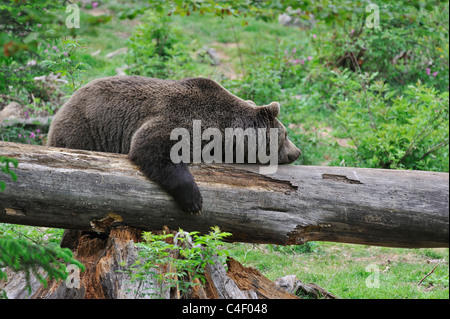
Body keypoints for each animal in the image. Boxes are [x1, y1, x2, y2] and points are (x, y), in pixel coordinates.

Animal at [47, 76, 300, 215]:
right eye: (286, 134)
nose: (296, 152)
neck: (224, 132)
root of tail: (65, 105)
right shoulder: (184, 120)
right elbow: (151, 147)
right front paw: (194, 201)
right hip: (84, 130)